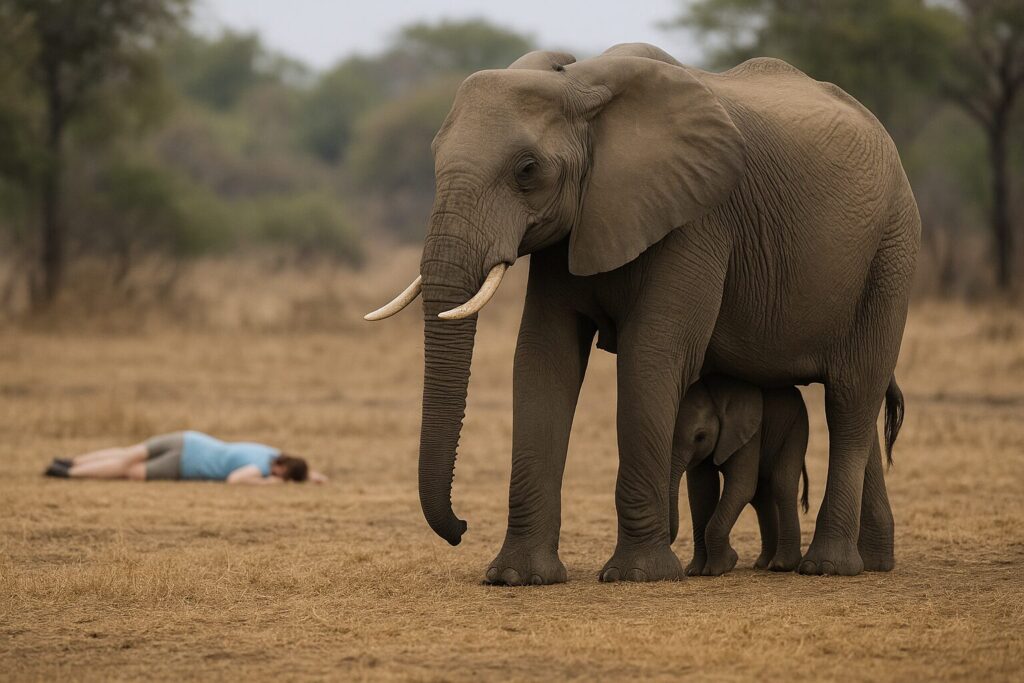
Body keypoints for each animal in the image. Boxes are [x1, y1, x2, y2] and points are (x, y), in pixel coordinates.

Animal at [365, 43, 919, 583]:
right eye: (434, 157)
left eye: (527, 170)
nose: (461, 527)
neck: (582, 86)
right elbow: (544, 357)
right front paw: (516, 577)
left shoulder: (697, 219)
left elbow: (651, 355)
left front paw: (638, 574)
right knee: (859, 403)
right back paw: (874, 562)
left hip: (891, 252)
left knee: (851, 395)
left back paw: (827, 568)